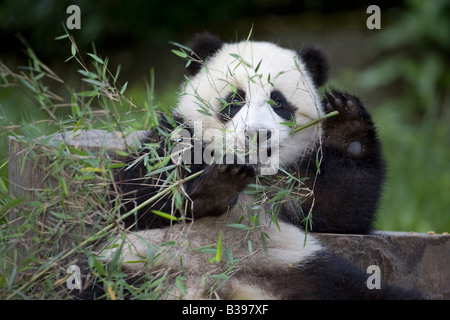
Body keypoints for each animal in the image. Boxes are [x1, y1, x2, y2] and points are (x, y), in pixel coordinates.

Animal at [95, 32, 422, 300]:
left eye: (279, 102)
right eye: (235, 100)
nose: (256, 134)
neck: (255, 176)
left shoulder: (293, 180)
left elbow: (342, 207)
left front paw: (347, 124)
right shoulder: (172, 140)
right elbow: (132, 197)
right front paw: (217, 186)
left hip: (302, 271)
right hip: (132, 266)